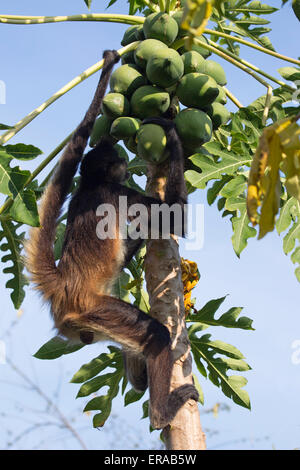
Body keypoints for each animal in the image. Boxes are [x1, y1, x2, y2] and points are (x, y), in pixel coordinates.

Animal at [25, 49, 198, 428]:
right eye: (119, 161)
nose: (122, 157)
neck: (92, 184)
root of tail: (64, 283)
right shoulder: (120, 193)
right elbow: (174, 216)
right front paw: (171, 132)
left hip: (95, 324)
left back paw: (142, 381)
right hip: (97, 310)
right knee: (157, 335)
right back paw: (161, 414)